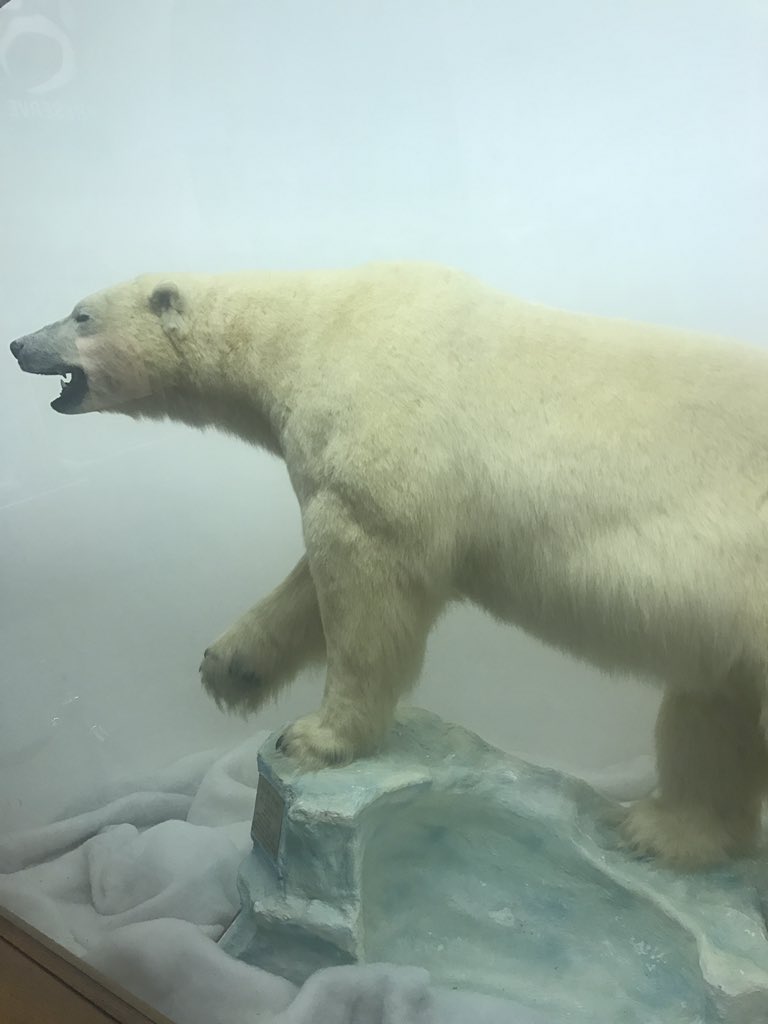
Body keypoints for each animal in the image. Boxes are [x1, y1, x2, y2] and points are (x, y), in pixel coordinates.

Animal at [9, 261, 768, 868]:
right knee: (711, 708)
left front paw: (315, 736)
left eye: (81, 314)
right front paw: (230, 665)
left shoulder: (384, 436)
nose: (18, 343)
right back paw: (665, 828)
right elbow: (310, 580)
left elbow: (366, 585)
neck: (311, 330)